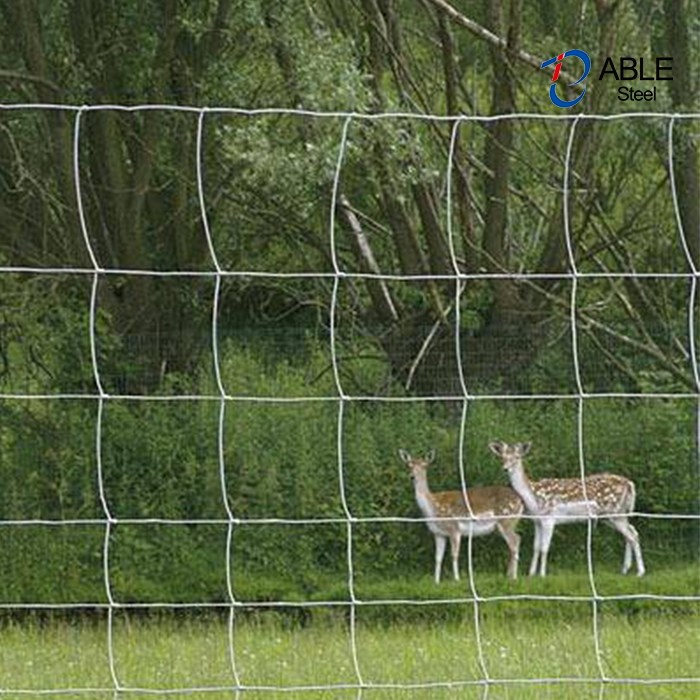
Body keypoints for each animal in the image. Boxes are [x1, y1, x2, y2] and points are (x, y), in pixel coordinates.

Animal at [400, 452, 524, 584]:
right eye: (408, 465)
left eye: (424, 466)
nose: (412, 476)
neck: (433, 508)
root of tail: (520, 500)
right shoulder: (438, 533)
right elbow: (438, 558)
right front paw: (436, 582)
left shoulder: (454, 528)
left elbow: (454, 555)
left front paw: (456, 579)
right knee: (514, 543)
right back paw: (508, 575)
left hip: (507, 520)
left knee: (516, 540)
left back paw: (514, 577)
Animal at [486, 440, 644, 576]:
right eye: (502, 457)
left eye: (517, 457)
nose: (506, 468)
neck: (534, 496)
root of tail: (630, 484)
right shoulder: (537, 521)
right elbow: (535, 547)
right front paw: (531, 574)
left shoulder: (550, 518)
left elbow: (544, 548)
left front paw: (542, 575)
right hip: (611, 516)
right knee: (631, 532)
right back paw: (625, 569)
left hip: (615, 512)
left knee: (633, 535)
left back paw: (640, 572)